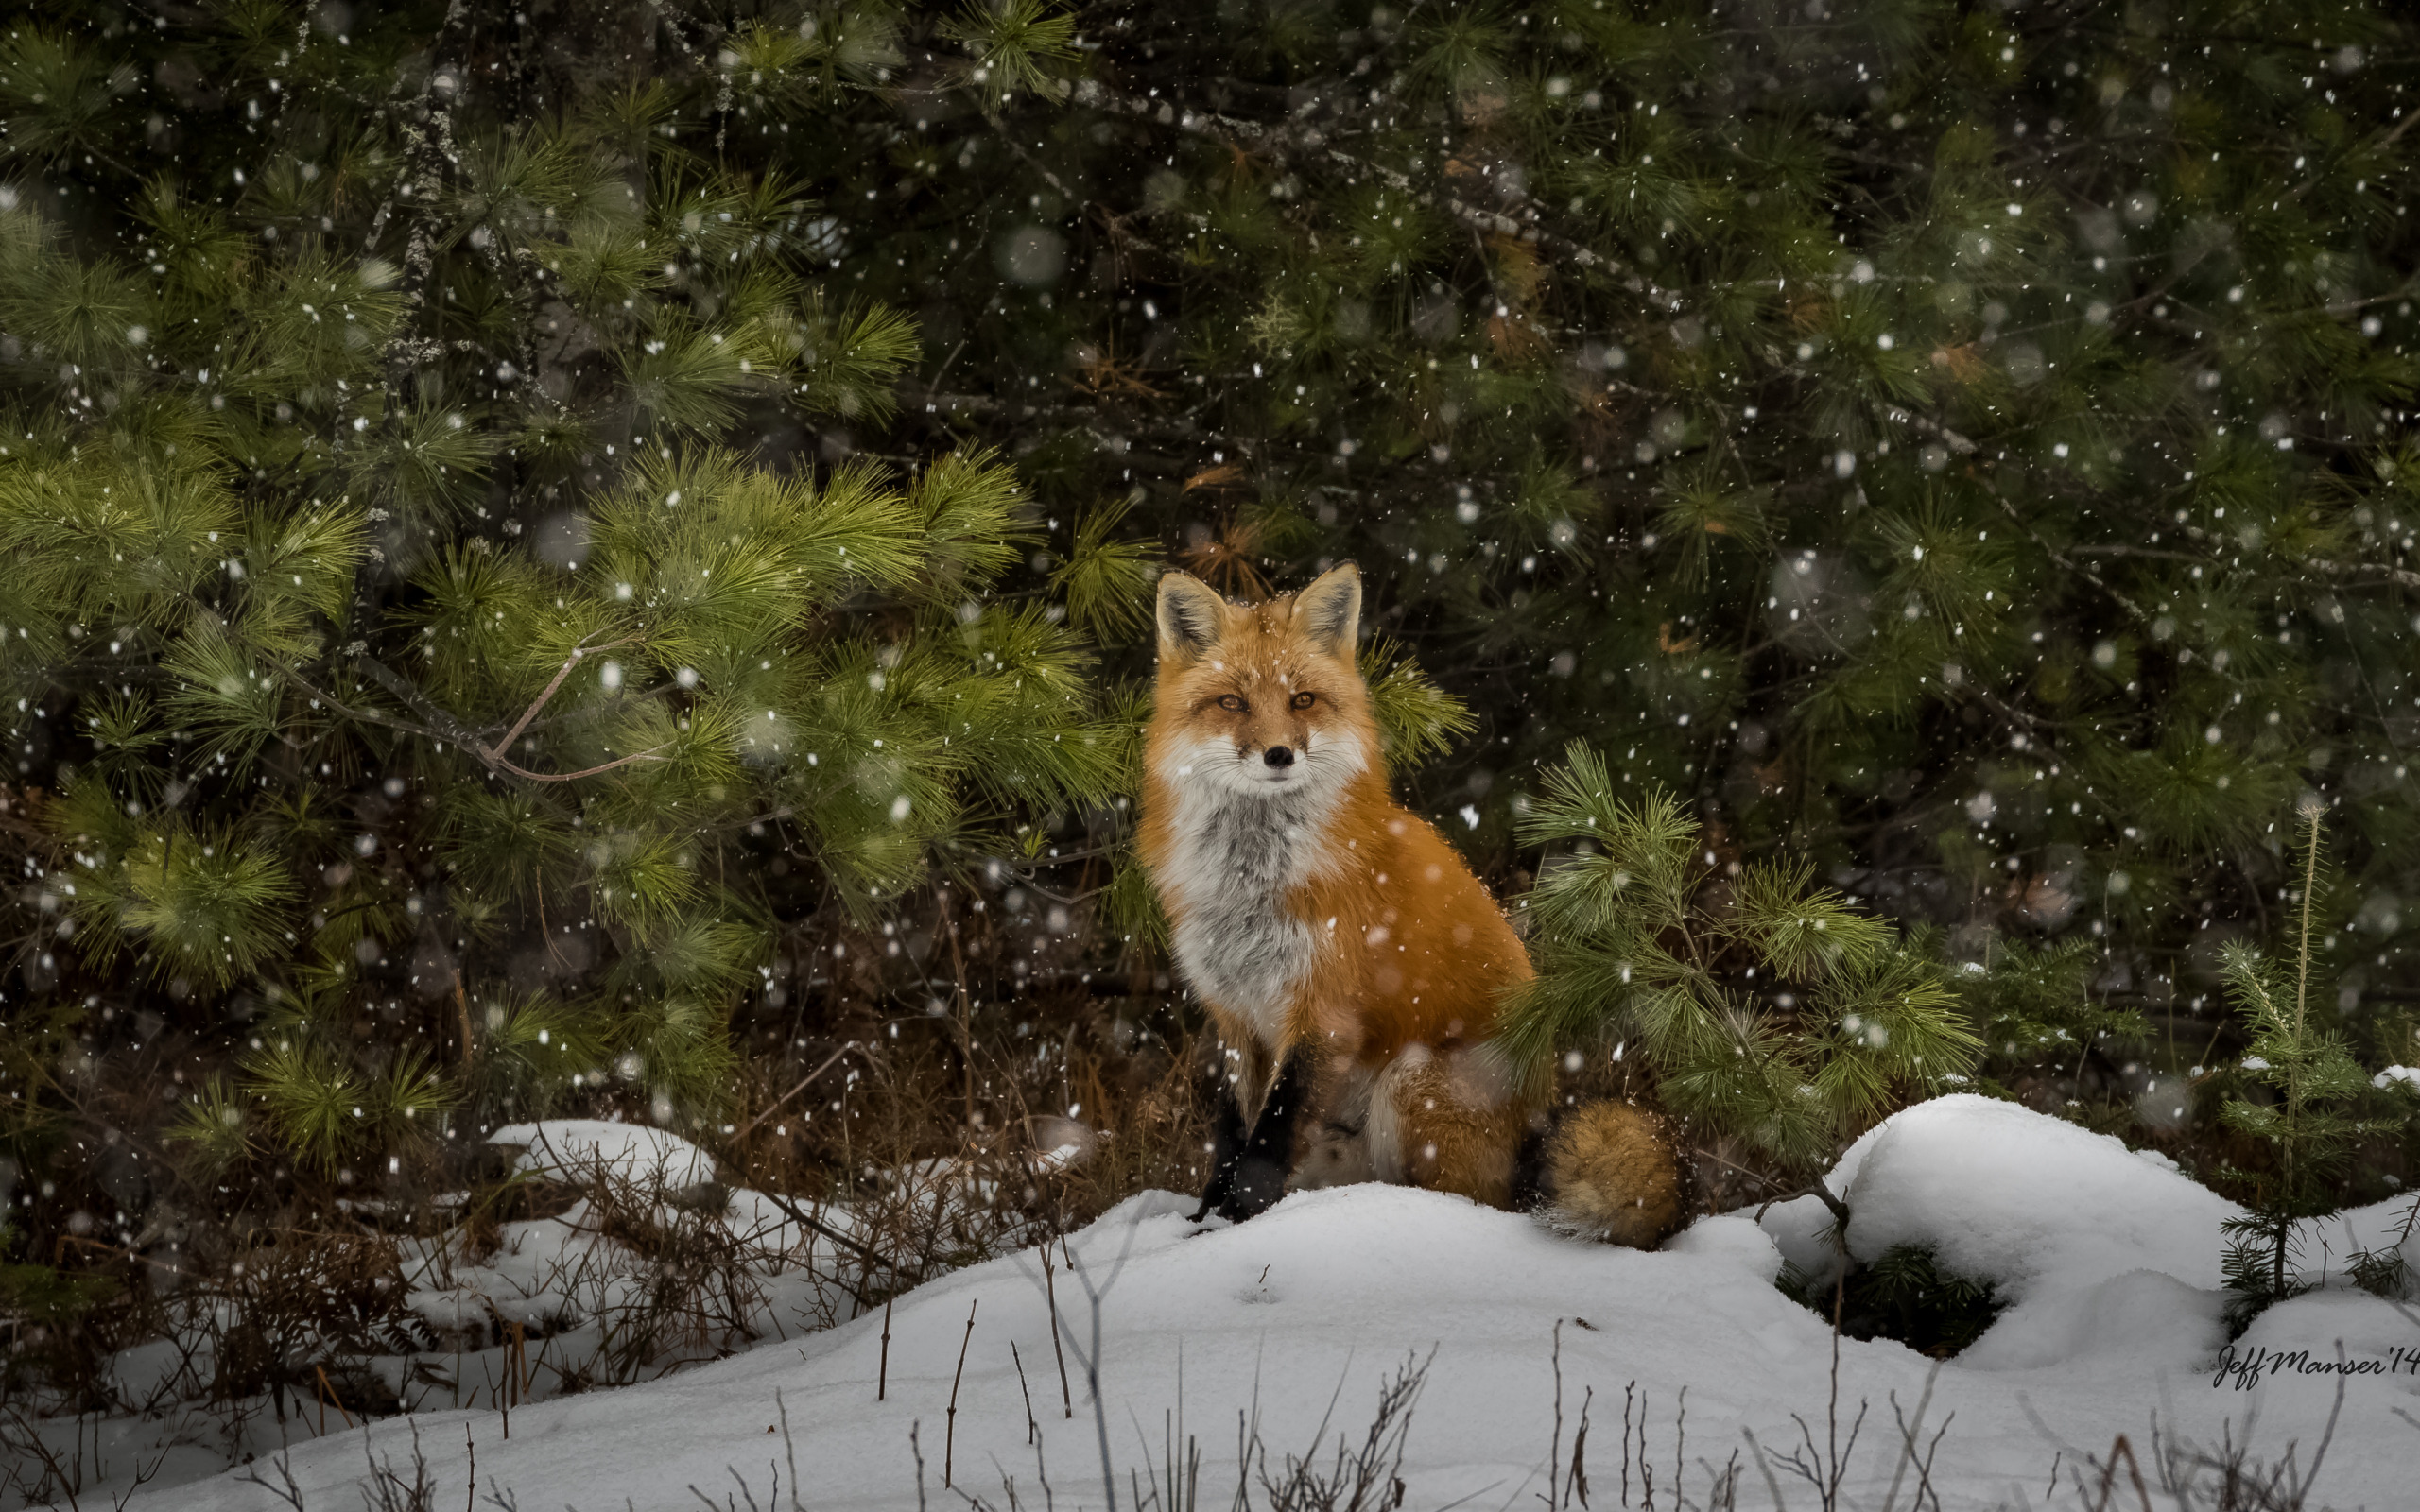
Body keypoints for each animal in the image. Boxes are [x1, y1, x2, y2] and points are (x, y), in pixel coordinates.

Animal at [1137, 560, 1684, 1247]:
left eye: (1302, 700)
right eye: (1232, 703)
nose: (1279, 754)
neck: (1255, 883)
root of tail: (1540, 1120)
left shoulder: (1322, 1010)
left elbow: (1269, 1139)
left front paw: (1237, 1223)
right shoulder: (1235, 1015)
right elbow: (1234, 1135)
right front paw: (1207, 1219)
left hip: (1411, 1083)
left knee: (1475, 1204)